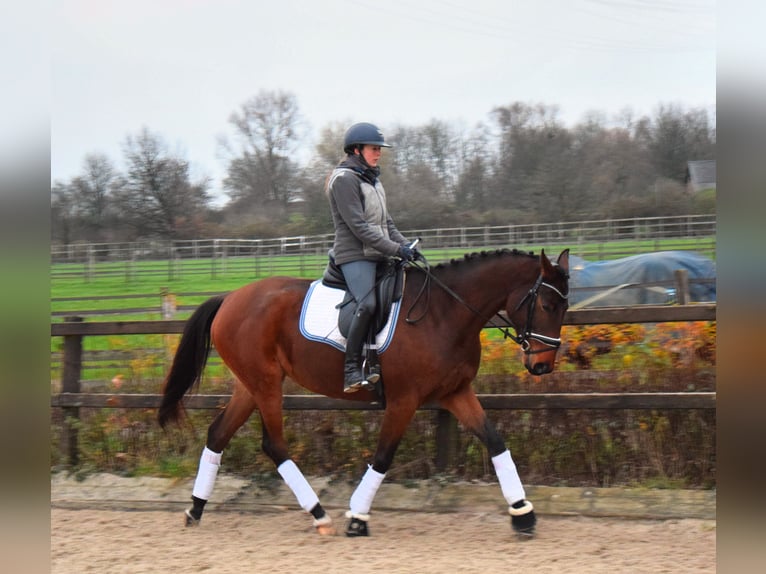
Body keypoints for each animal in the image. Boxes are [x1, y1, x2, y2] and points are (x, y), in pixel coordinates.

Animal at [159, 248, 572, 540]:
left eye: (565, 306)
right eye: (547, 304)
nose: (542, 366)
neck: (444, 313)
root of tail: (230, 298)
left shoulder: (455, 393)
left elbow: (496, 442)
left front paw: (523, 514)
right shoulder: (404, 401)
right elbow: (384, 457)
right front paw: (357, 517)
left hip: (251, 385)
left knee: (218, 434)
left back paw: (195, 510)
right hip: (266, 384)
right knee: (273, 444)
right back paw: (319, 515)